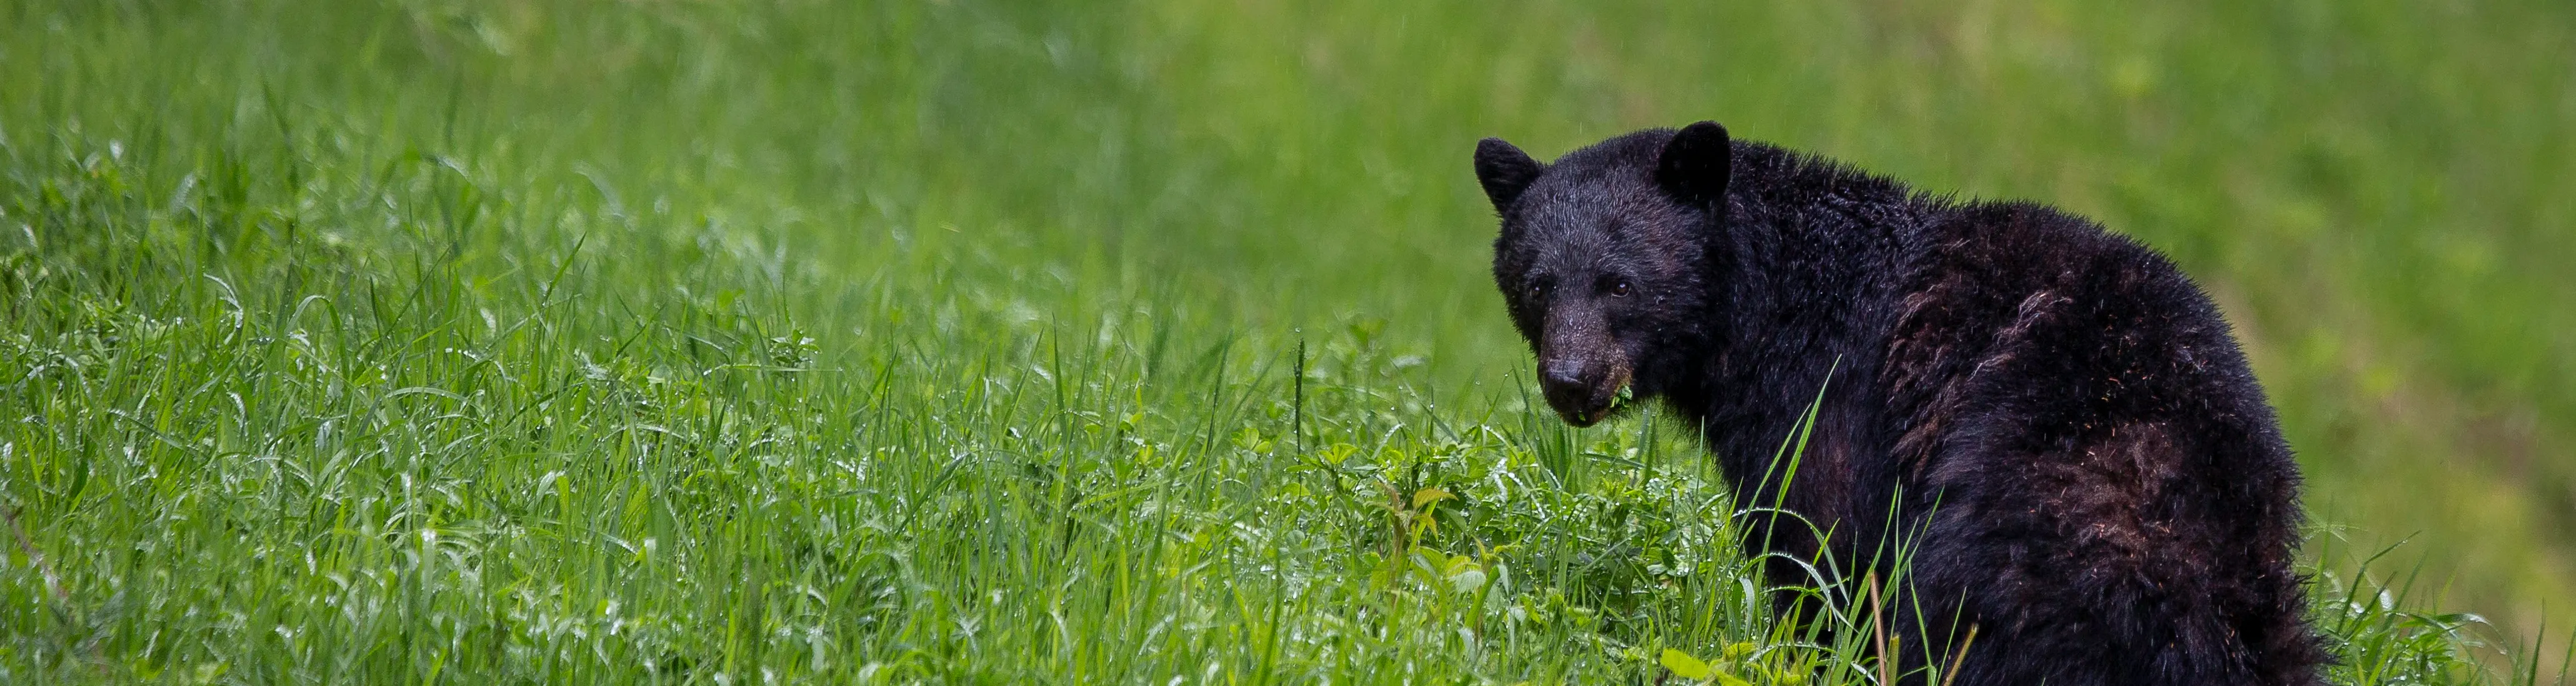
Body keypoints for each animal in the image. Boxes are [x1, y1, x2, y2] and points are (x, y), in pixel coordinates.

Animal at [1473, 122, 2325, 685]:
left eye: (1619, 283)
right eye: (1538, 284)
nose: (1571, 379)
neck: (1768, 305)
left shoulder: (1828, 406)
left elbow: (1820, 552)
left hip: (2025, 523)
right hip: (2262, 586)